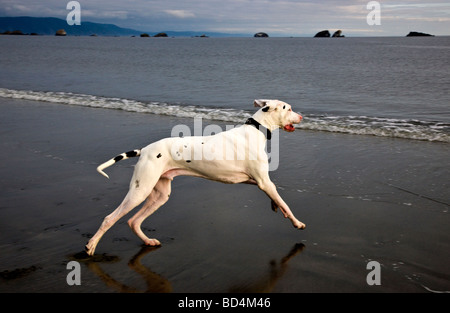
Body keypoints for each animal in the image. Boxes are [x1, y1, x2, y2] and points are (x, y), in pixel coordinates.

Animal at [86, 98, 304, 255]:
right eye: (288, 108)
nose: (302, 117)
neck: (256, 129)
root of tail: (145, 149)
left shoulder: (256, 181)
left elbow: (276, 198)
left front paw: (275, 206)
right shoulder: (263, 181)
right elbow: (285, 203)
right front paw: (296, 222)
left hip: (159, 195)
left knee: (134, 221)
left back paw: (147, 241)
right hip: (140, 191)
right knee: (110, 219)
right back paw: (91, 245)